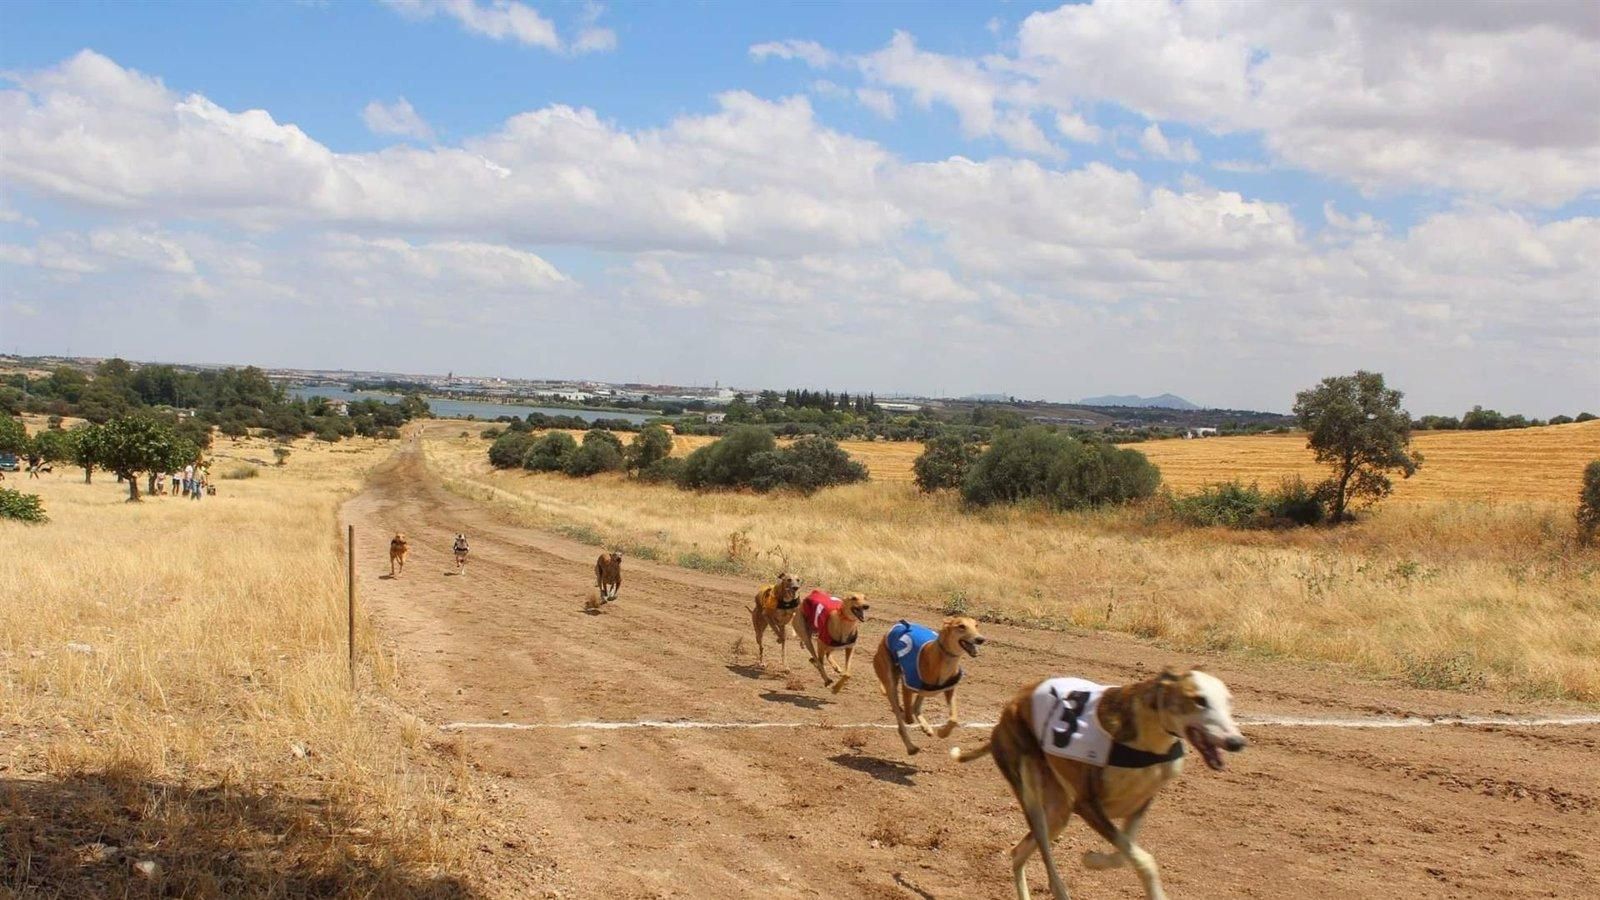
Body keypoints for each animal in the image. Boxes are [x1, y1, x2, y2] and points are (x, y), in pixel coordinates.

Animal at [876, 614, 985, 749]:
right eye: (961, 626)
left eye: (976, 625)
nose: (981, 639)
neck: (943, 660)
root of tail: (898, 625)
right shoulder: (907, 688)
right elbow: (907, 718)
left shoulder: (950, 690)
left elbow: (954, 719)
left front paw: (943, 732)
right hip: (888, 676)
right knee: (899, 707)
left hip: (923, 692)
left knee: (915, 707)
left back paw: (926, 728)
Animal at [947, 666, 1248, 896]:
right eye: (1199, 700)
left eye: (1229, 701)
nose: (1237, 742)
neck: (1147, 735)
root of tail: (1001, 720)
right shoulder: (1087, 805)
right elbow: (1144, 860)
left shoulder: (1140, 803)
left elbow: (1124, 853)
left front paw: (1092, 860)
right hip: (1033, 797)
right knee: (1048, 868)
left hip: (1058, 812)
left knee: (1017, 852)